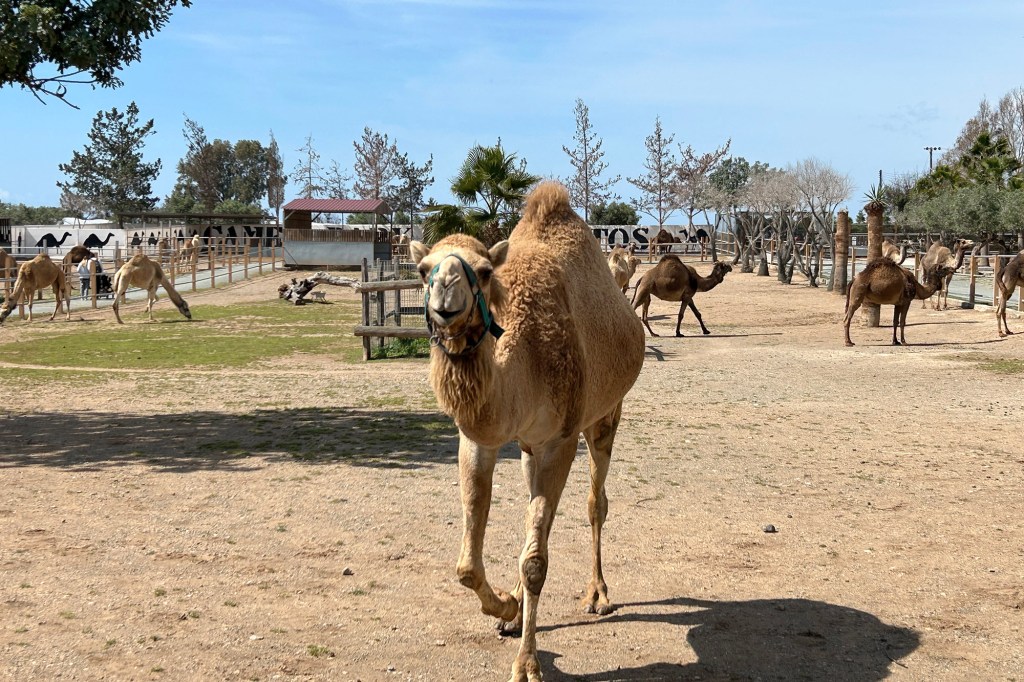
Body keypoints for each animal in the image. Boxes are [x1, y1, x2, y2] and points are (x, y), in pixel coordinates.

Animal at [408, 182, 645, 682]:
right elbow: (467, 564)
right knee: (539, 520)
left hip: (605, 416)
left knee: (596, 503)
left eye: (482, 271)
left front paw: (528, 663)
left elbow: (536, 561)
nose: (445, 301)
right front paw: (504, 606)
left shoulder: (560, 439)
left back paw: (598, 595)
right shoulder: (482, 440)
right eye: (422, 270)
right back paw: (516, 612)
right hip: (529, 447)